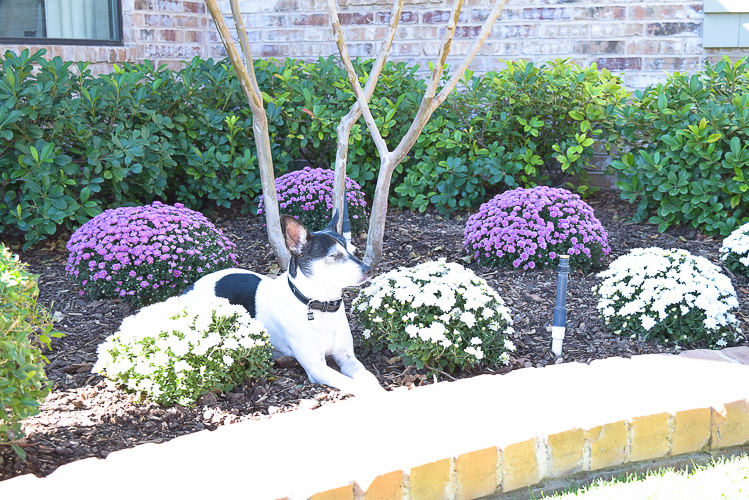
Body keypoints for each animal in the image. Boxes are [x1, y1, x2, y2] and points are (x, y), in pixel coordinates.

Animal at [181, 213, 382, 396]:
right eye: (334, 256)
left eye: (352, 252)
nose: (369, 270)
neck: (320, 305)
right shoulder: (316, 367)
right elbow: (353, 384)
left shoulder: (347, 357)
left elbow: (370, 377)